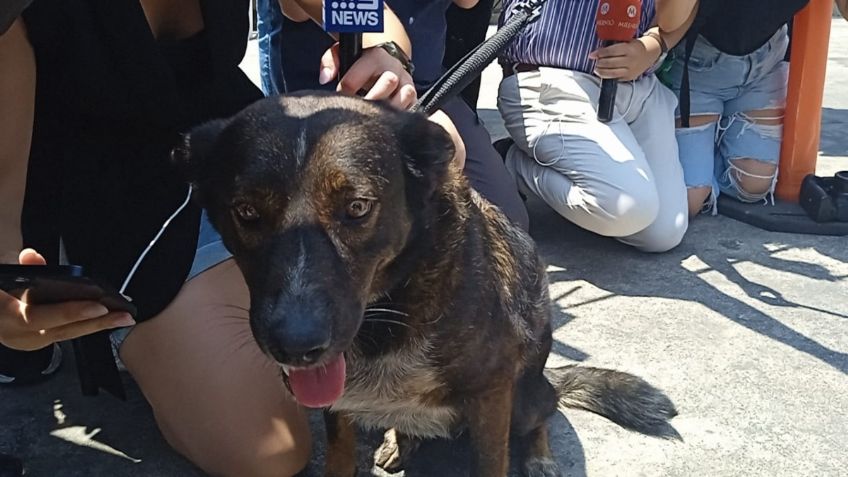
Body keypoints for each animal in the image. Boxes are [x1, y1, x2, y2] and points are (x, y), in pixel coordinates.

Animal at [176, 93, 680, 476]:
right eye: (246, 212)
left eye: (357, 207)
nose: (296, 347)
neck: (390, 307)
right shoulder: (336, 402)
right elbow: (338, 455)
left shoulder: (492, 393)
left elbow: (491, 461)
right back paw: (400, 440)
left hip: (523, 395)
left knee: (545, 407)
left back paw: (538, 457)